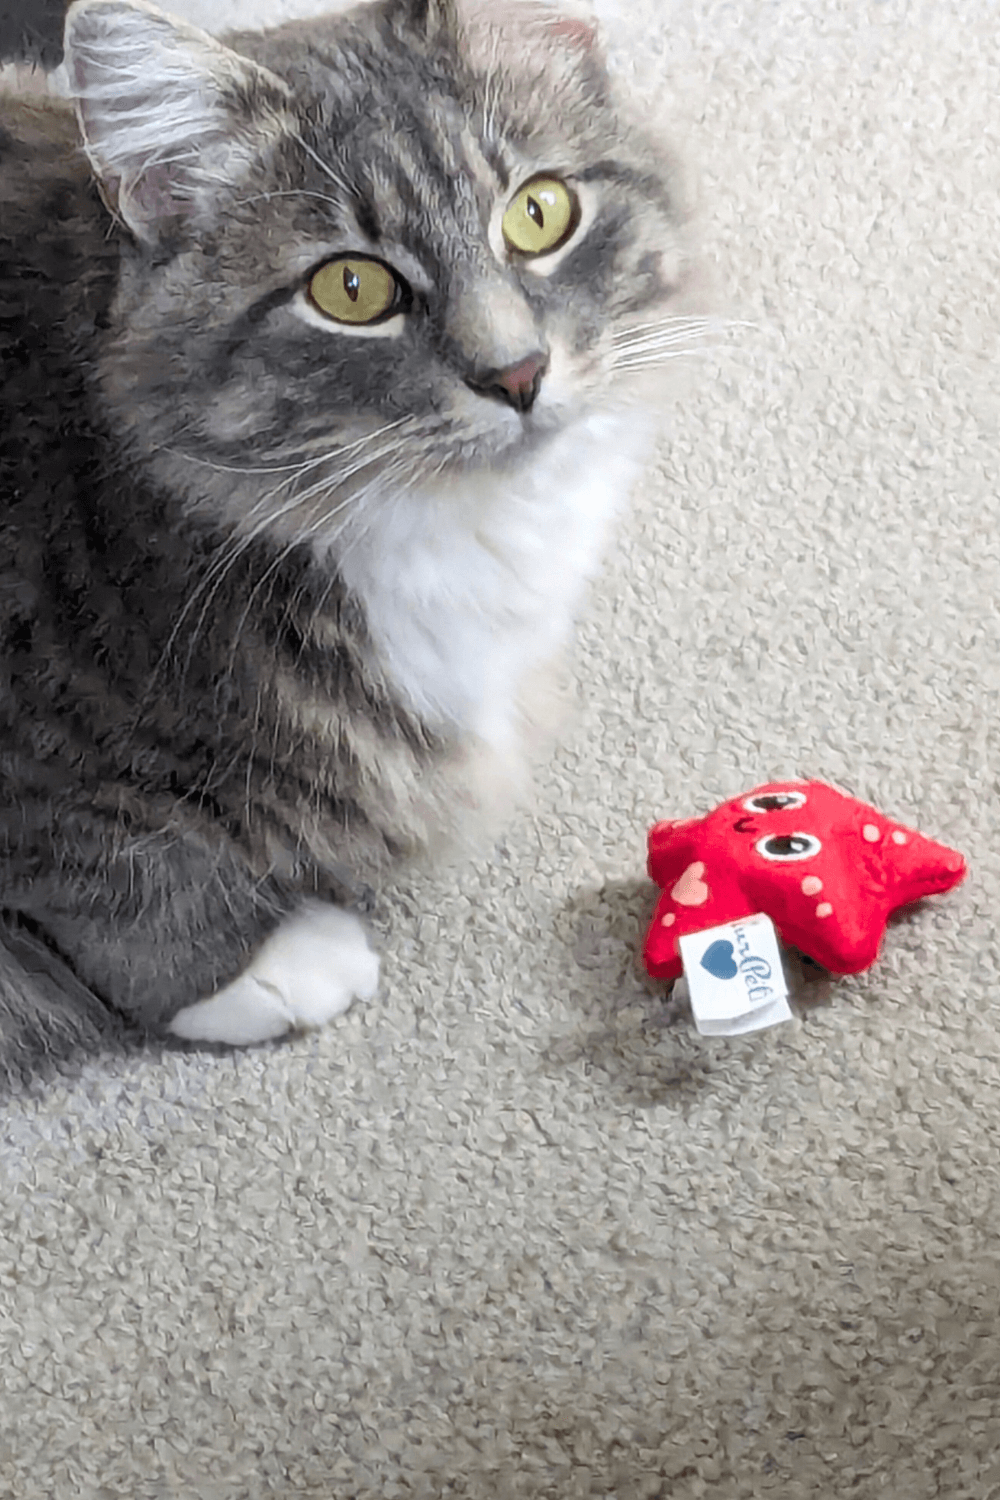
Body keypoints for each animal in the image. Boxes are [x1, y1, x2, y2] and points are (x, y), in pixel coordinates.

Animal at [0, 0, 701, 1080]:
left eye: (539, 214)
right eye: (353, 291)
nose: (518, 373)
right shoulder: (39, 758)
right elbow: (104, 870)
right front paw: (253, 972)